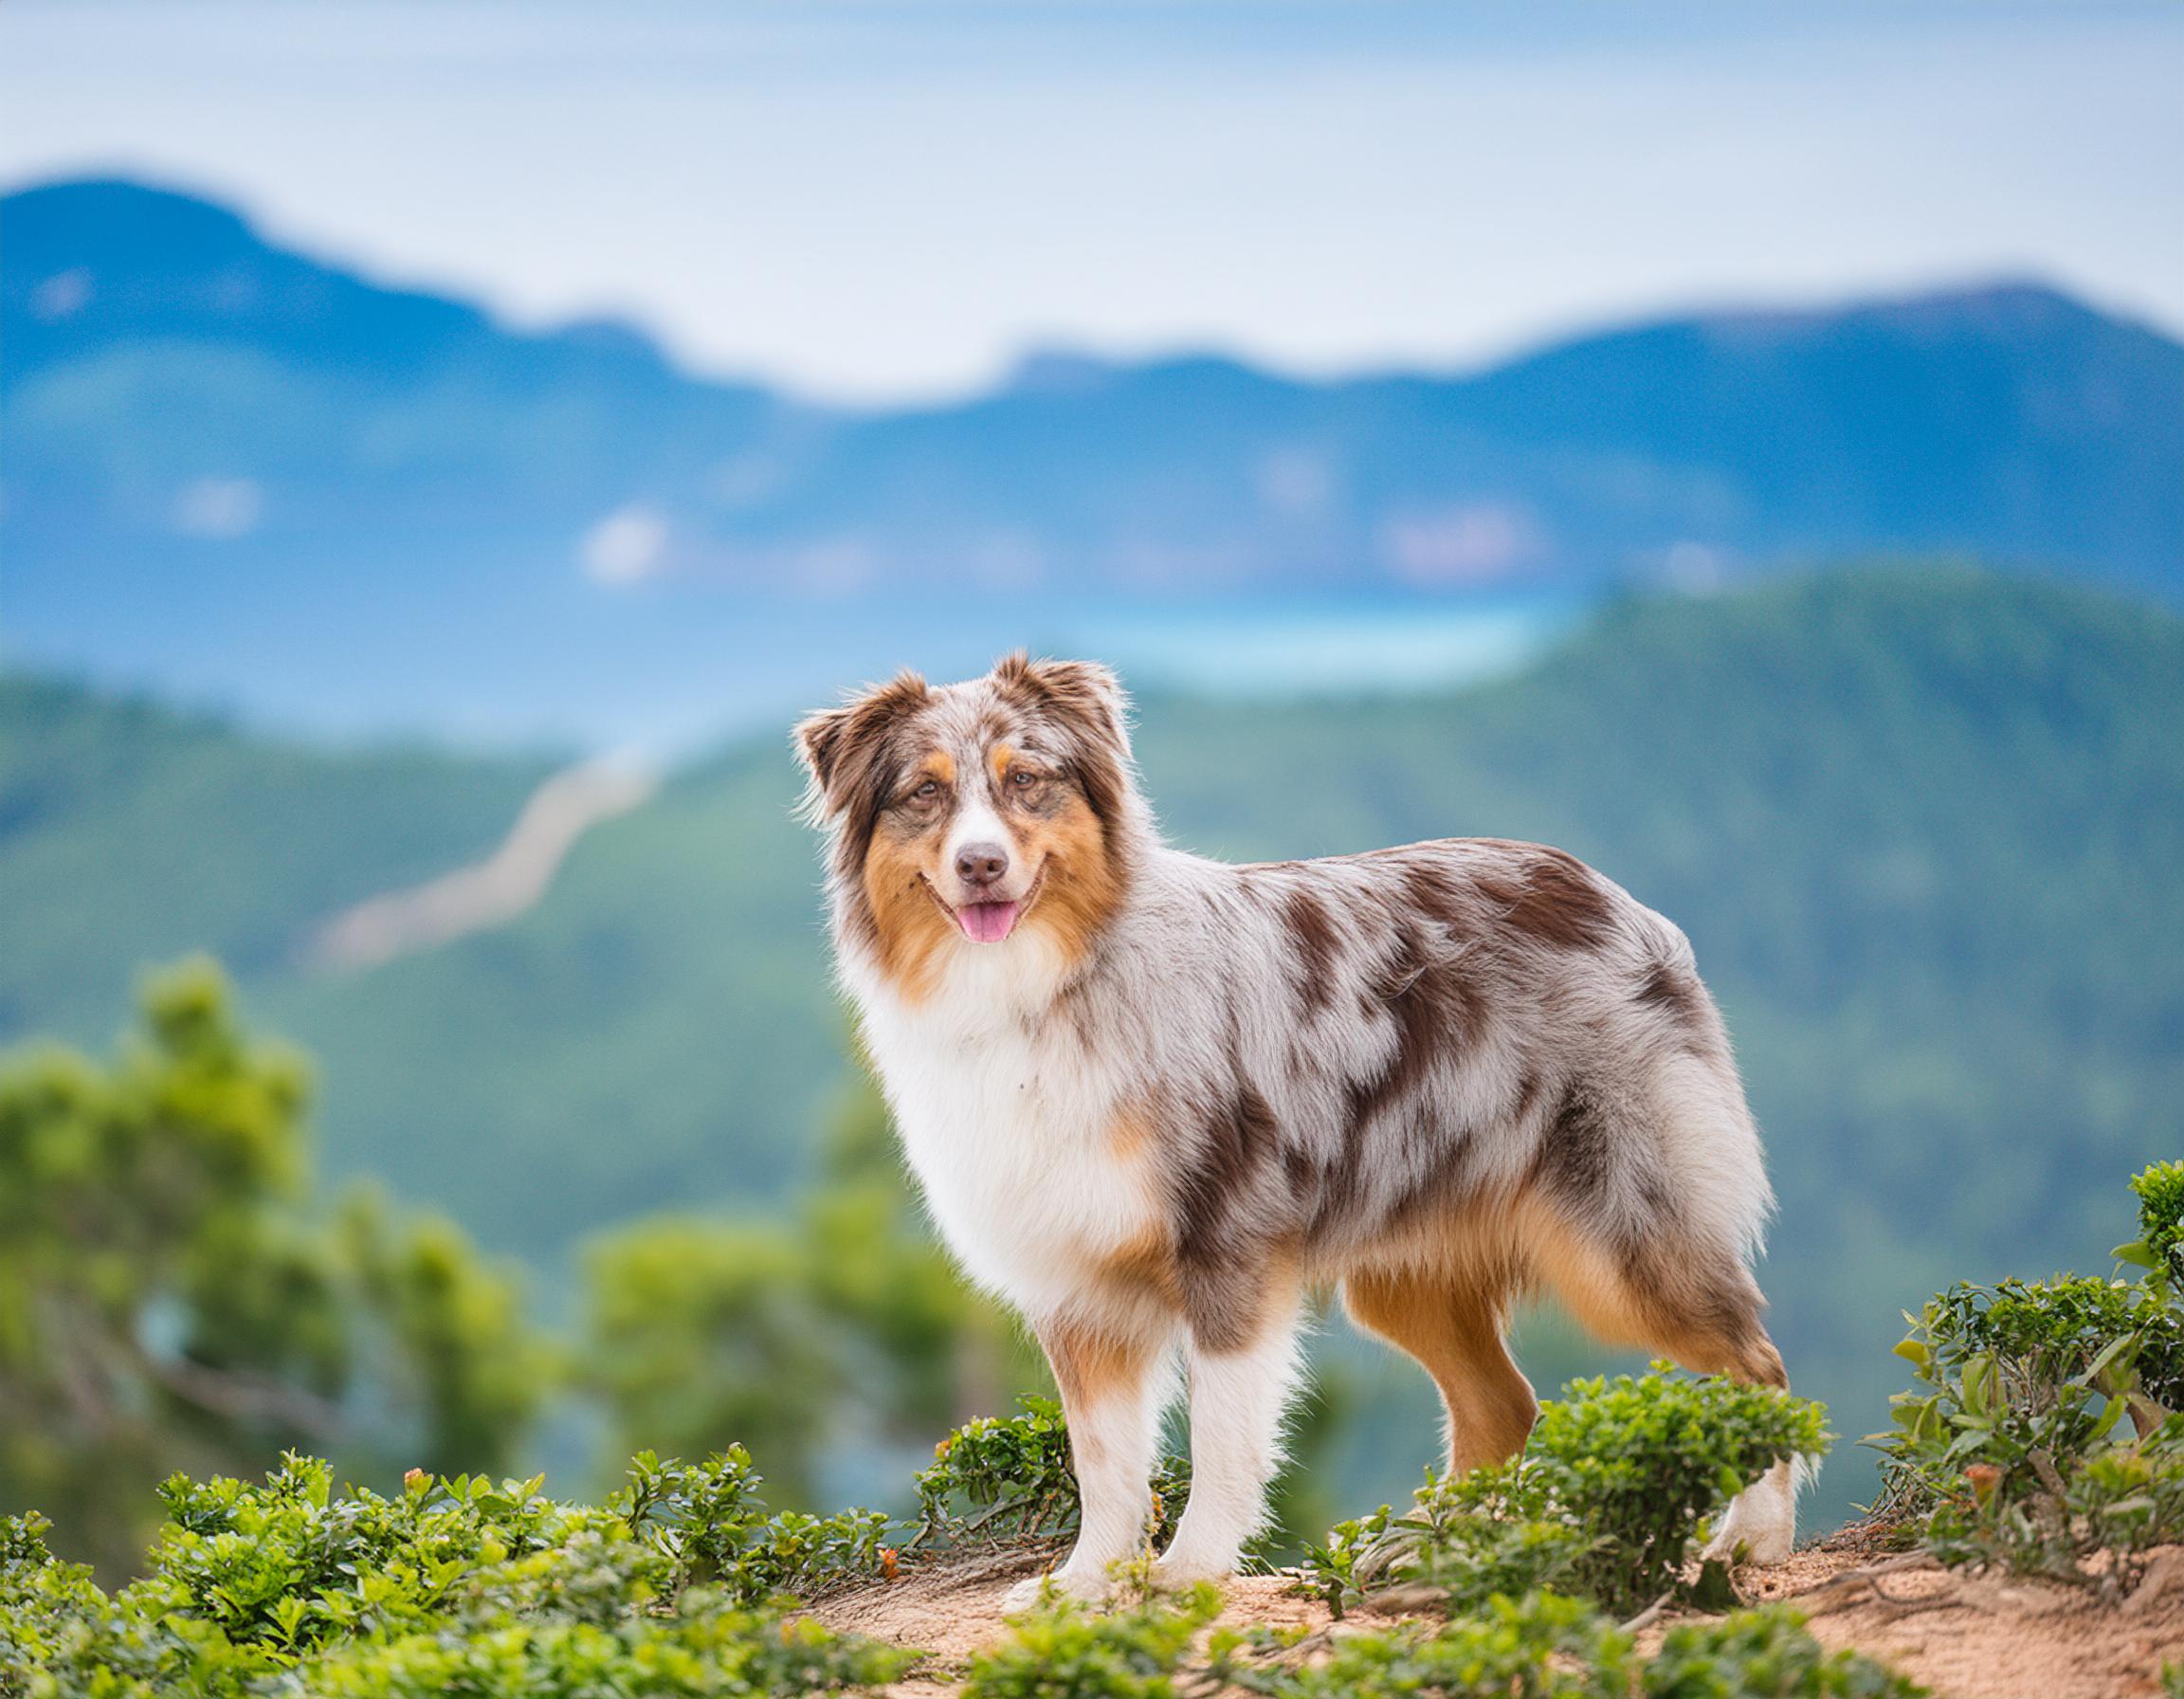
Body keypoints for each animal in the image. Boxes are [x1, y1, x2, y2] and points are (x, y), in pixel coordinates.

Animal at [794, 650, 1799, 1599]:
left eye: (1026, 779)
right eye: (924, 793)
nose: (981, 864)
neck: (1043, 988)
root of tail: (1615, 897)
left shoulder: (1228, 1248)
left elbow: (1221, 1438)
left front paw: (1189, 1572)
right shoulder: (1076, 1283)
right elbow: (1104, 1461)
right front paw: (1085, 1583)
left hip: (1622, 1238)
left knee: (1757, 1364)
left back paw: (1753, 1539)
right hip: (1405, 1270)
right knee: (1503, 1404)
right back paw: (1438, 1549)